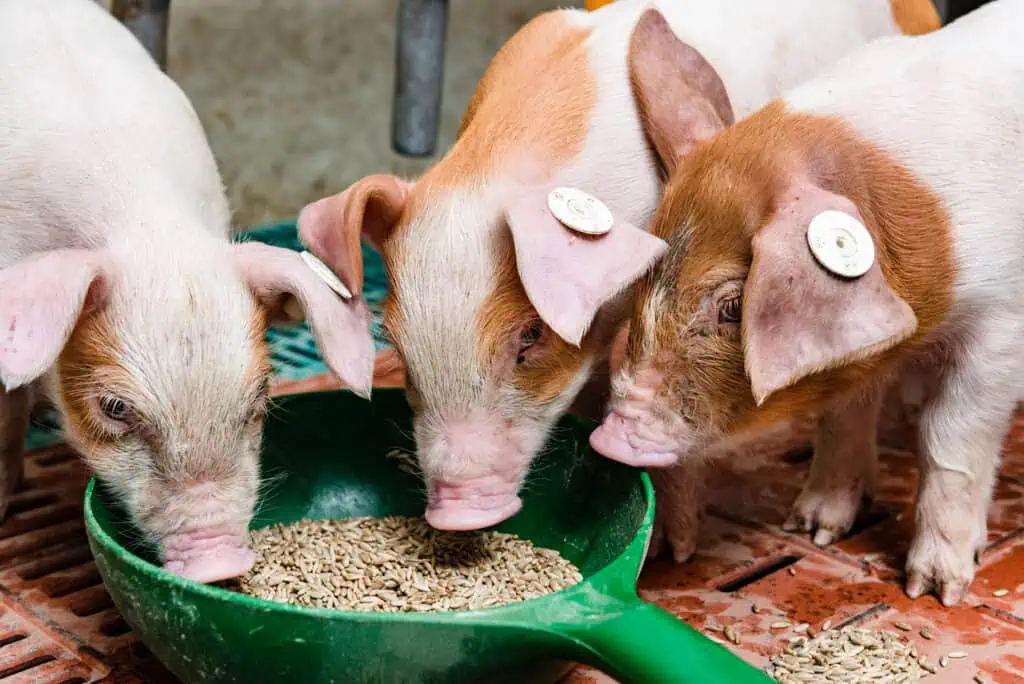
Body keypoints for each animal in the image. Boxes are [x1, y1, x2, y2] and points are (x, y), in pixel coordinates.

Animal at [589, 0, 1024, 605]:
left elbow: (951, 441)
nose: (610, 436)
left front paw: (933, 591)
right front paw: (814, 528)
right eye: (646, 279)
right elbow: (842, 413)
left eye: (733, 308)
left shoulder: (1001, 329)